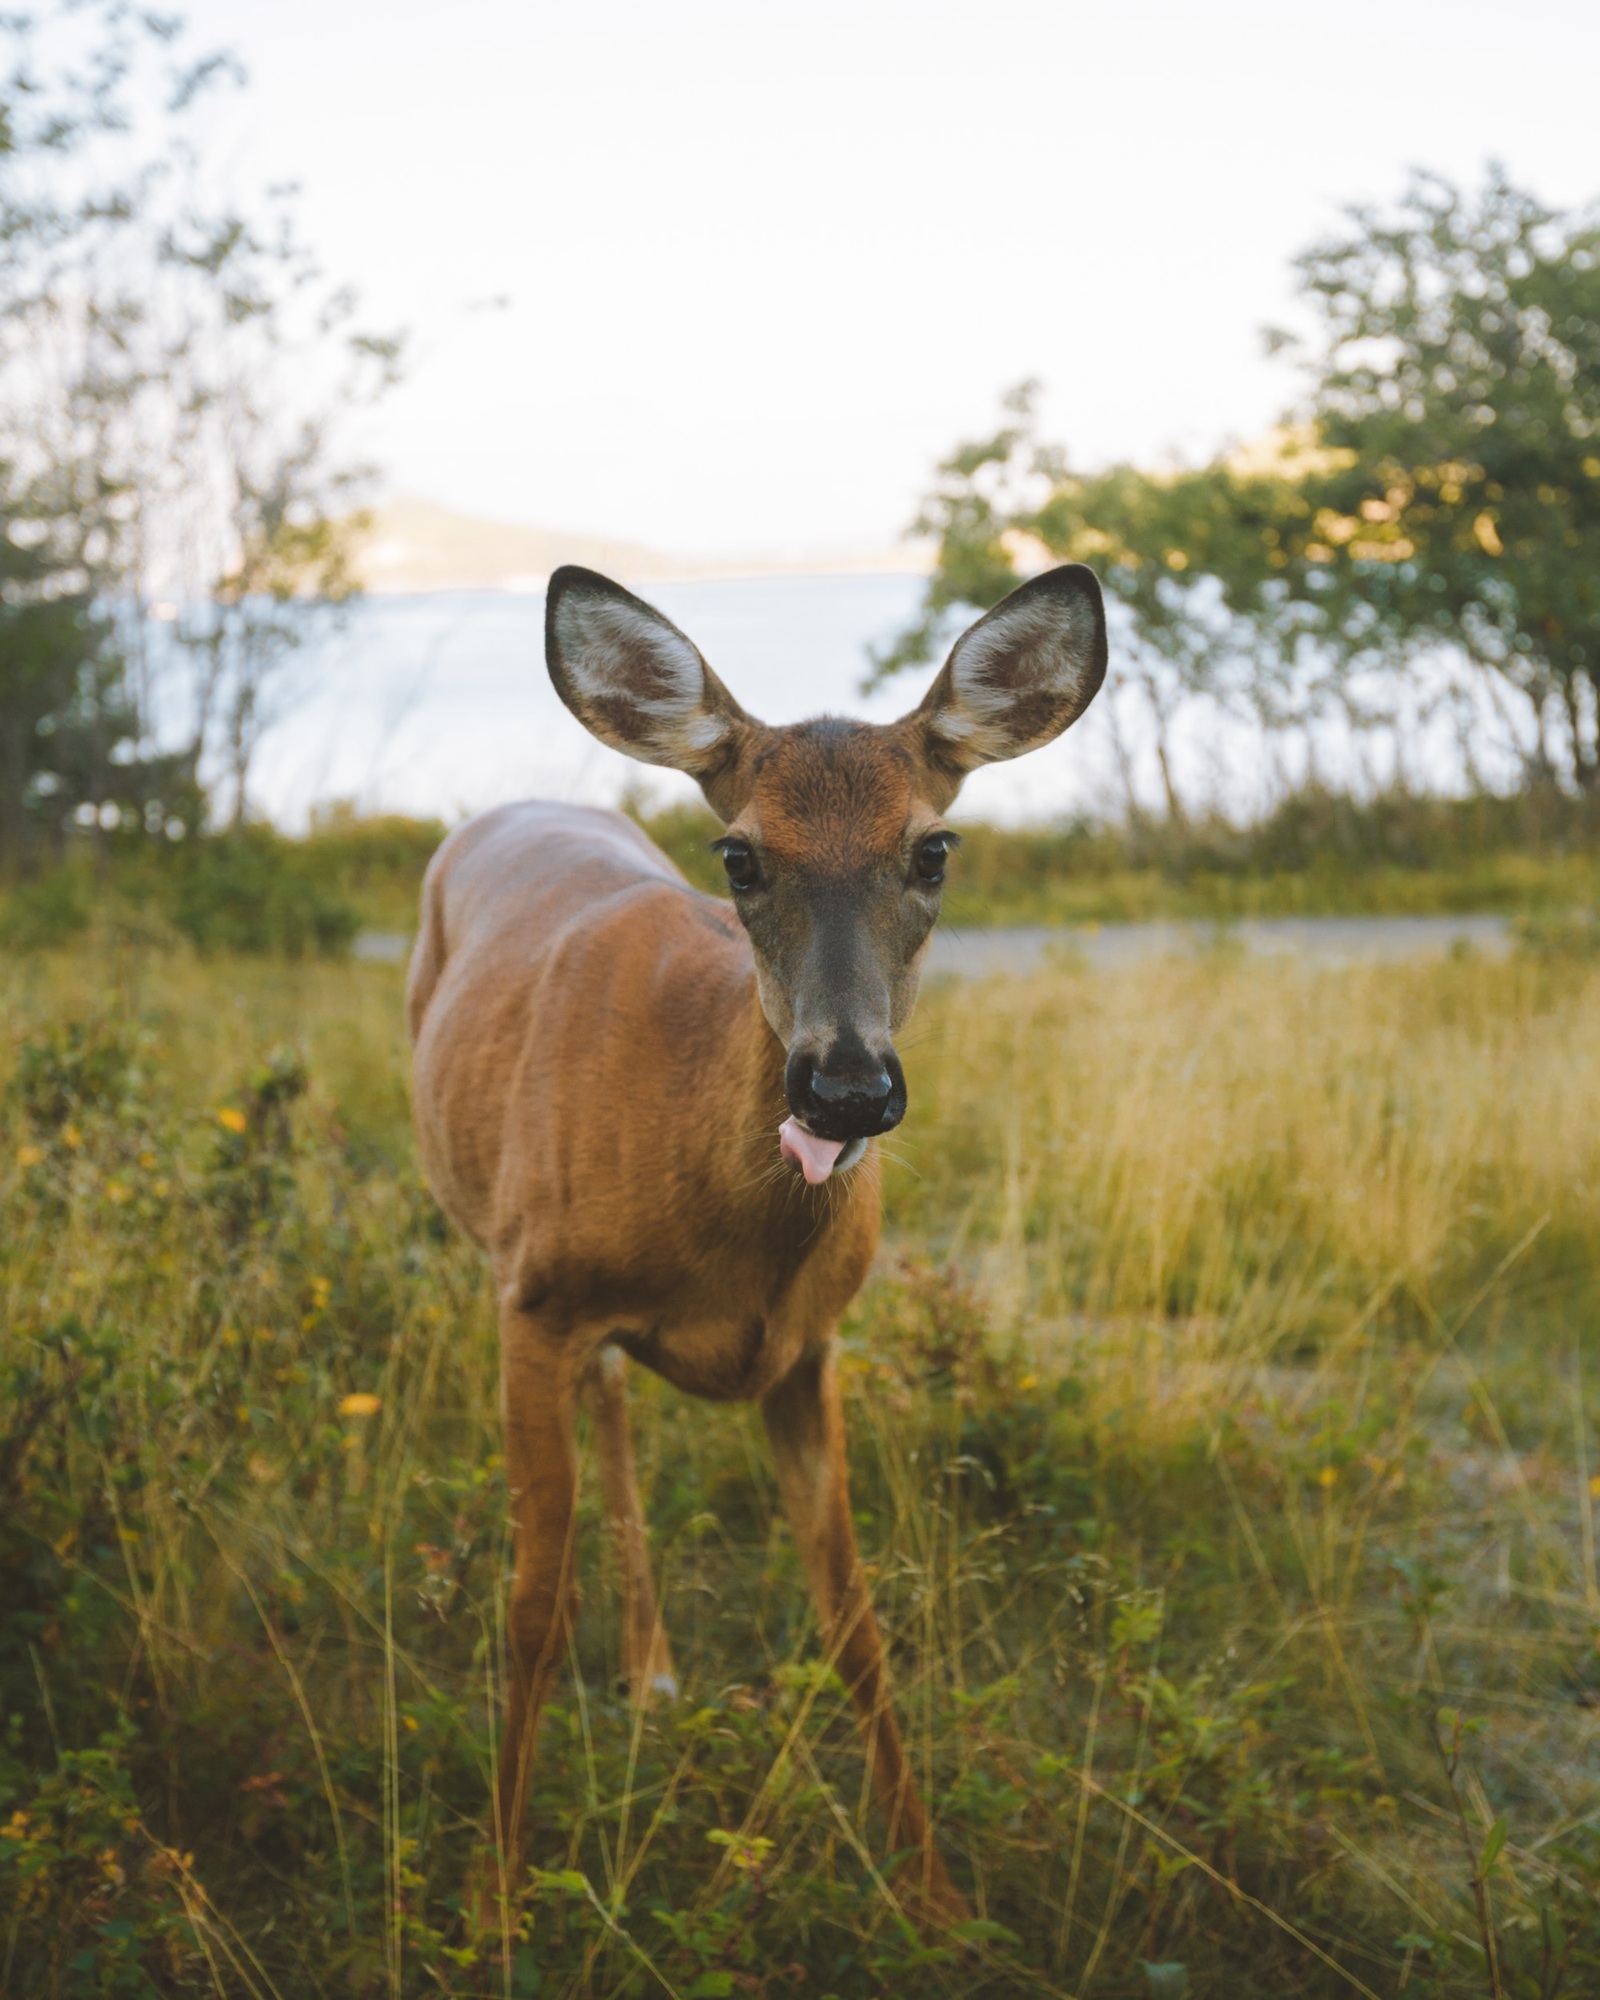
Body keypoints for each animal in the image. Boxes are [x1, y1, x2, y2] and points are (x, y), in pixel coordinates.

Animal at [405, 559, 1107, 1931]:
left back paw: (657, 1668)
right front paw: (498, 1897)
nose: (843, 1086)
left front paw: (936, 1890)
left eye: (932, 848)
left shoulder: (809, 1347)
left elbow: (854, 1616)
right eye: (739, 854)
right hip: (494, 1246)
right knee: (606, 1425)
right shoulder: (533, 1297)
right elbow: (529, 1603)